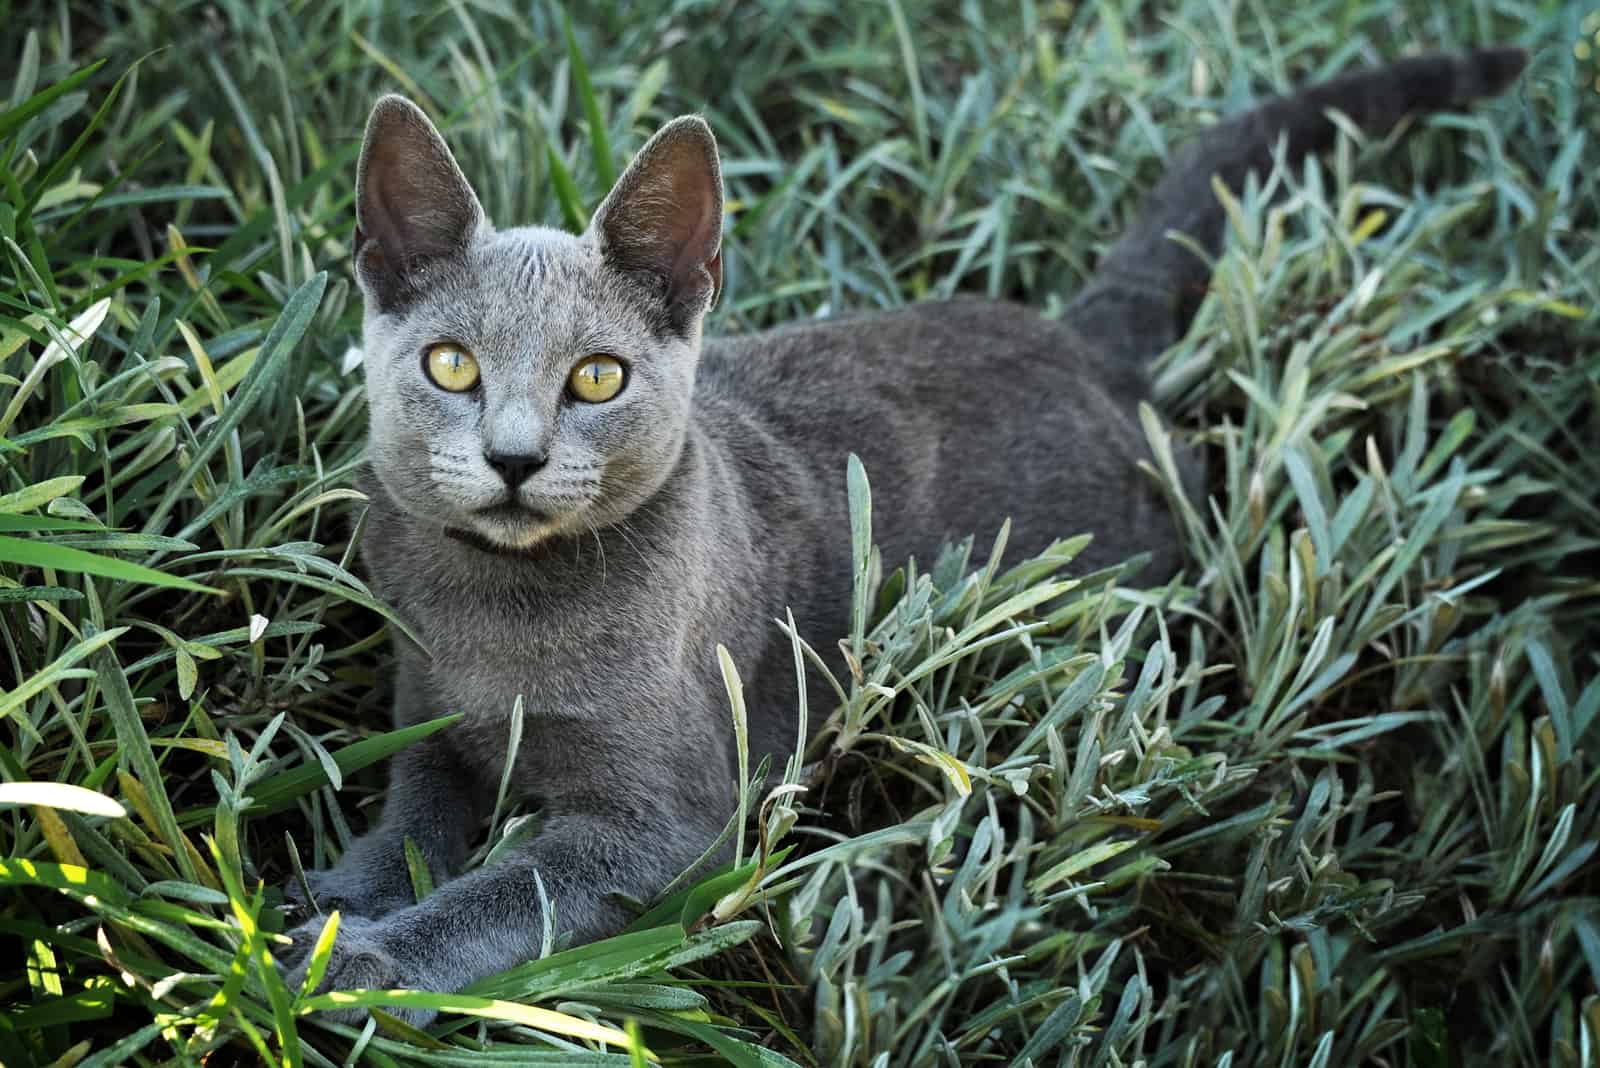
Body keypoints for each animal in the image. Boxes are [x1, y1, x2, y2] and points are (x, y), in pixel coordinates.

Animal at [284, 45, 1523, 1023]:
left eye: (597, 378)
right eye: (452, 366)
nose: (513, 457)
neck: (499, 613)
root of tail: (1077, 341)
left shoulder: (673, 822)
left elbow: (513, 894)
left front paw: (350, 962)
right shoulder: (425, 704)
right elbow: (412, 809)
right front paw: (333, 895)